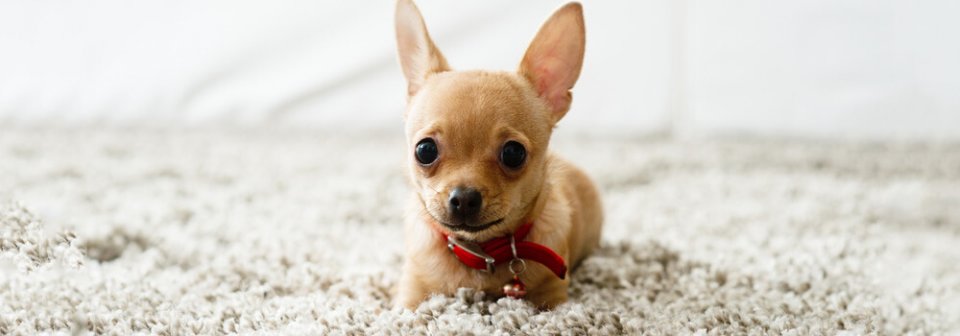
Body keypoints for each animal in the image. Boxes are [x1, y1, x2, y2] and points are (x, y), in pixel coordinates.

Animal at [392, 0, 600, 310]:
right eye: (425, 150)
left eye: (514, 153)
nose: (464, 198)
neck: (480, 254)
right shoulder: (411, 295)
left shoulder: (552, 297)